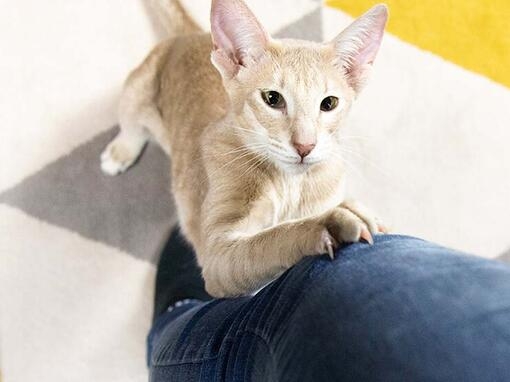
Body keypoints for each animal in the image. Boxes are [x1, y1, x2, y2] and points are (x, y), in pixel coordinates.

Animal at [100, 0, 386, 298]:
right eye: (272, 98)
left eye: (329, 103)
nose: (305, 146)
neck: (289, 185)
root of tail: (191, 35)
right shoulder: (217, 255)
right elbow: (271, 239)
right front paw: (327, 223)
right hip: (136, 90)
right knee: (131, 125)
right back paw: (120, 151)